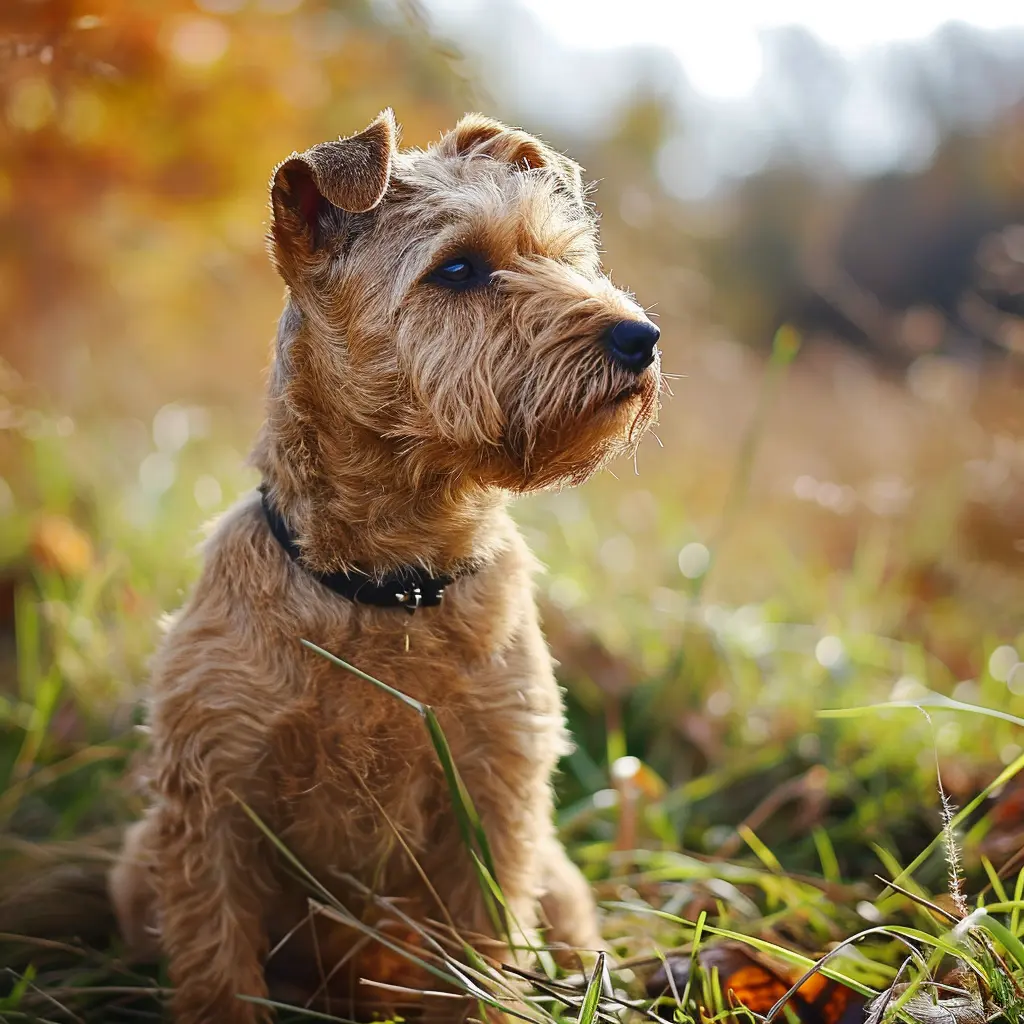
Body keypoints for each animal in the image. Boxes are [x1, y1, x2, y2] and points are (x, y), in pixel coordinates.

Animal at [105, 108, 663, 1019]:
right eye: (459, 268)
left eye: (566, 255)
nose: (640, 337)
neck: (387, 586)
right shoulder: (211, 802)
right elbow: (218, 968)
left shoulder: (496, 800)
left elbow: (482, 954)